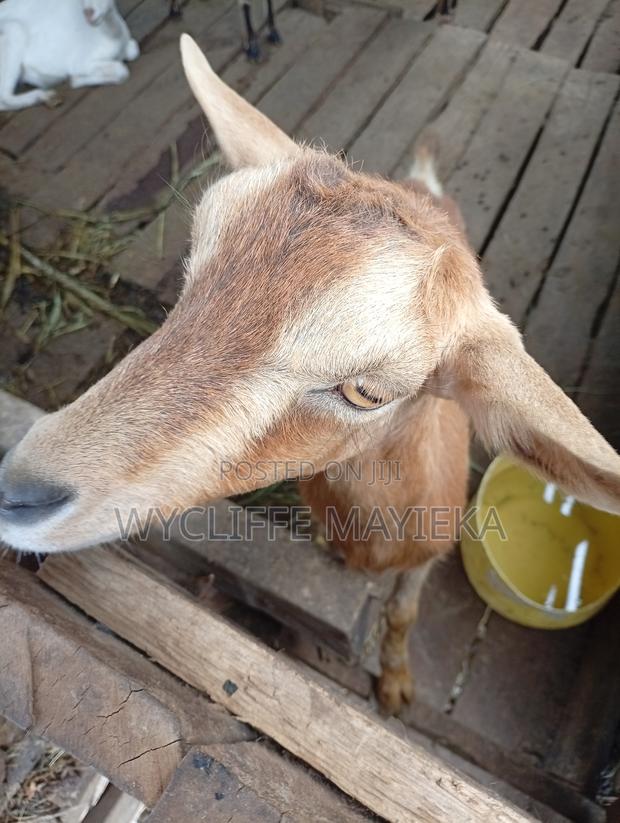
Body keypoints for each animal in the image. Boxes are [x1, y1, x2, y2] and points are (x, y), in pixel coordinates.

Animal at [0, 0, 138, 112]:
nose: (88, 13)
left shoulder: (128, 46)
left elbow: (134, 50)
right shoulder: (80, 62)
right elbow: (122, 71)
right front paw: (77, 80)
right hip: (13, 32)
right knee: (4, 96)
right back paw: (48, 97)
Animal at [1, 36, 619, 713]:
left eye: (367, 391)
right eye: (191, 274)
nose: (16, 492)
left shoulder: (426, 559)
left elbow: (402, 615)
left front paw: (395, 687)